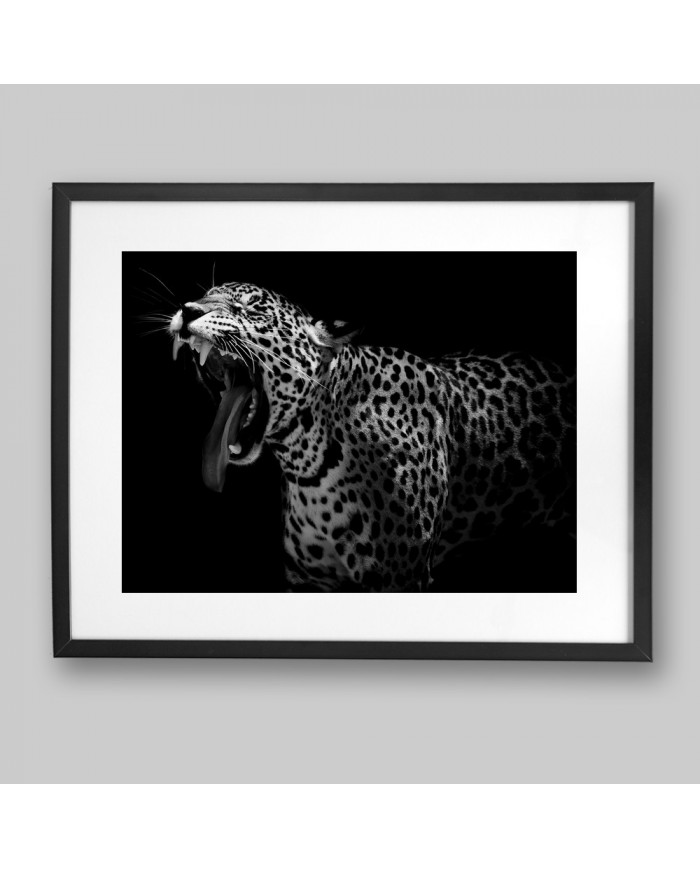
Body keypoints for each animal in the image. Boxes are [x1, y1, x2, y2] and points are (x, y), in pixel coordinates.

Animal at [168, 281, 575, 592]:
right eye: (205, 295)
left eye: (250, 308)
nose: (188, 310)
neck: (308, 462)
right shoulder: (310, 579)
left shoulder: (402, 575)